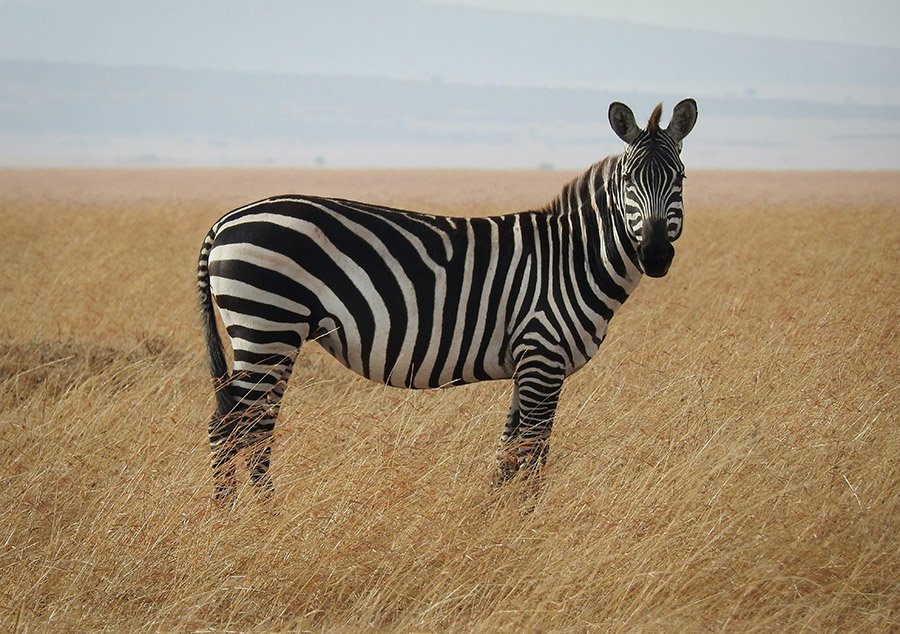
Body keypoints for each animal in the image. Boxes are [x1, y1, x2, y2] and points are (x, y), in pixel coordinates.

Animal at [197, 99, 697, 505]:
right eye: (629, 180)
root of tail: (226, 220)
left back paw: (237, 515)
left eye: (680, 178)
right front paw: (528, 523)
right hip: (268, 326)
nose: (655, 255)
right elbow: (533, 452)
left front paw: (494, 518)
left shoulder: (527, 363)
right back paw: (254, 519)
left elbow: (508, 450)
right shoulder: (543, 355)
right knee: (240, 428)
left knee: (240, 425)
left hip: (269, 334)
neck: (572, 258)